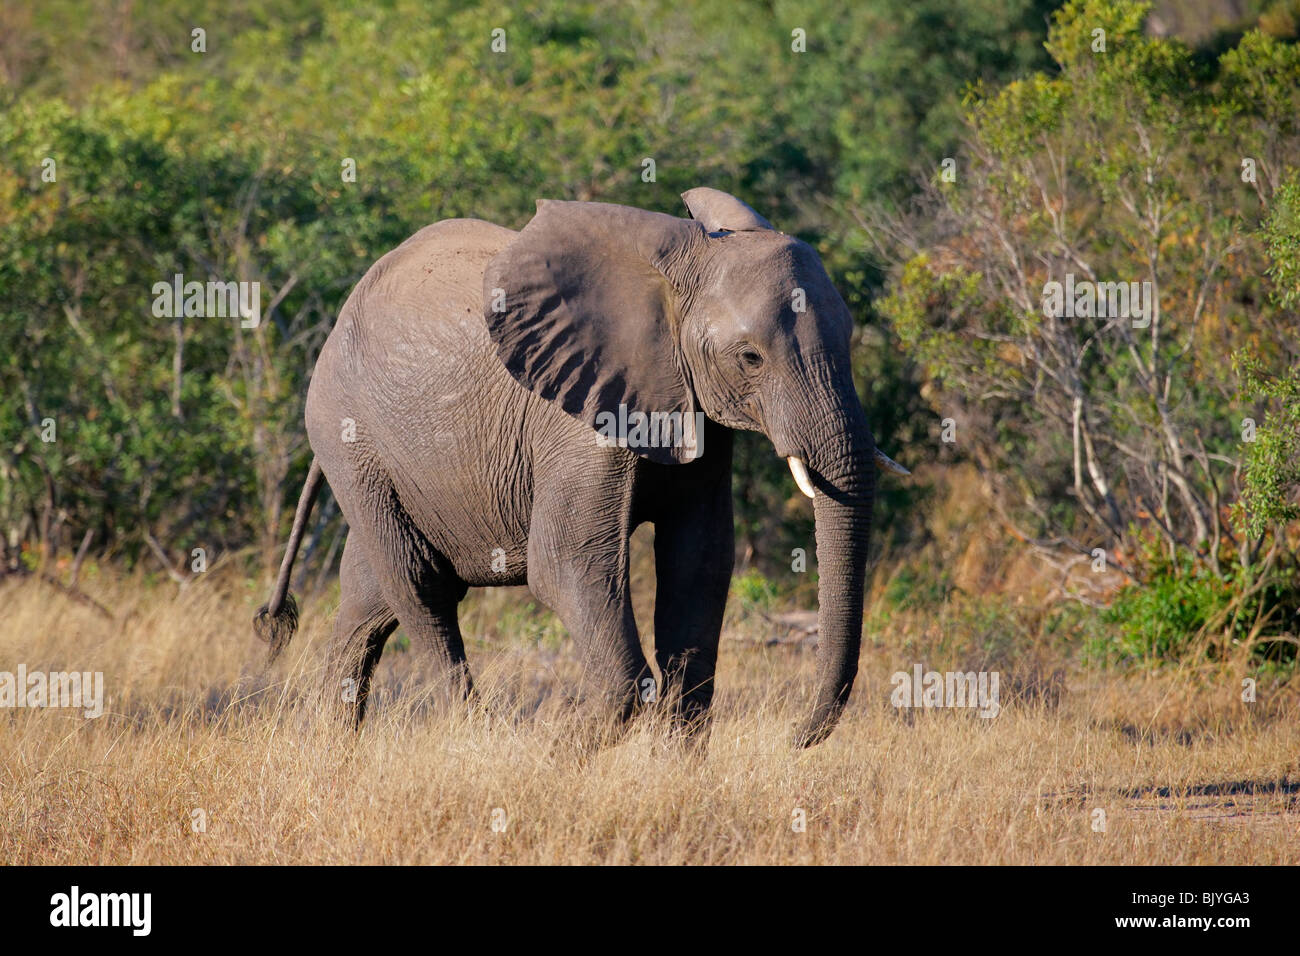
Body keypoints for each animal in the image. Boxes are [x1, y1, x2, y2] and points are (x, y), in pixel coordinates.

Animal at [250, 188, 904, 749]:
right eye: (750, 358)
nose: (795, 739)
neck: (680, 265)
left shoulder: (693, 407)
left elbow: (700, 562)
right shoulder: (578, 418)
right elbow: (566, 563)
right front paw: (549, 764)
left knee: (370, 601)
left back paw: (332, 750)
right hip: (347, 434)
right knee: (420, 586)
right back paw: (474, 737)